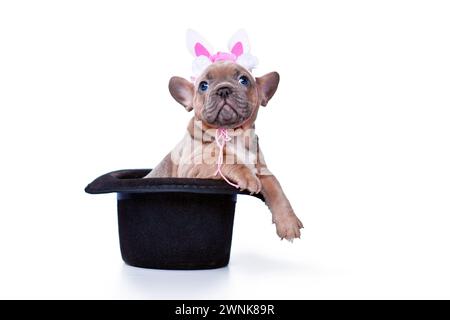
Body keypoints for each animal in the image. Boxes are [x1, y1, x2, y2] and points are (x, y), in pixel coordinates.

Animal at [146, 60, 304, 240]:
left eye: (244, 80)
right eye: (203, 86)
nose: (223, 89)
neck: (232, 133)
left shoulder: (262, 170)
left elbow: (276, 188)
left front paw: (288, 222)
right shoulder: (192, 166)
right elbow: (227, 160)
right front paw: (246, 176)